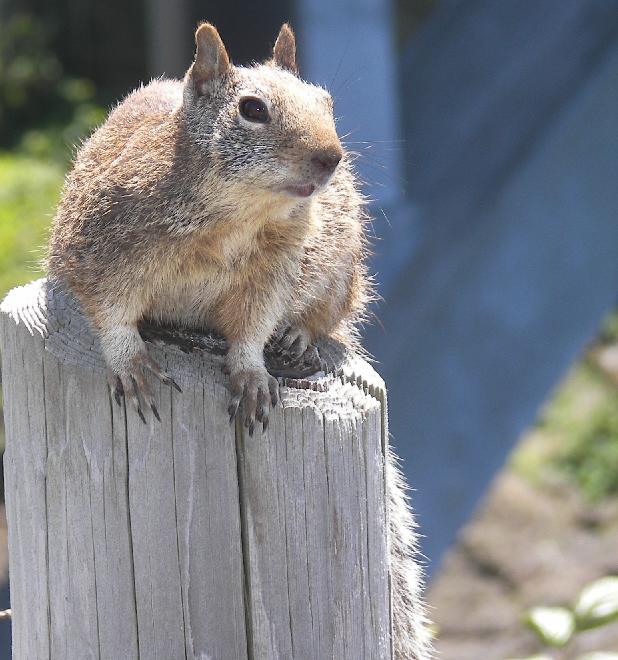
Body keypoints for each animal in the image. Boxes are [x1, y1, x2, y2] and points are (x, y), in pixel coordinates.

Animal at [48, 23, 430, 658]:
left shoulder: (274, 271)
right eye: (252, 110)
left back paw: (298, 338)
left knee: (327, 315)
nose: (332, 157)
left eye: (327, 102)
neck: (235, 213)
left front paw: (251, 373)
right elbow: (111, 313)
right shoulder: (100, 249)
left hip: (340, 271)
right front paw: (131, 362)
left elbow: (252, 328)